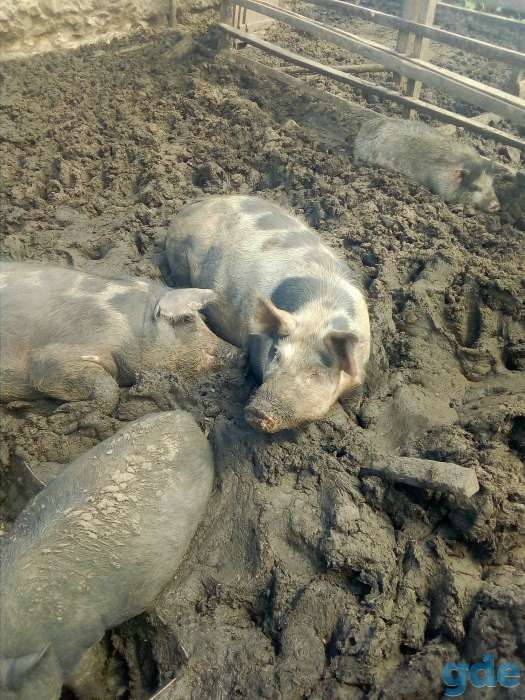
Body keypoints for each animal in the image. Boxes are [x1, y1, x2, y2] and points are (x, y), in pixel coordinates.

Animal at [0, 262, 230, 414]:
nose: (235, 352)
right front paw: (65, 413)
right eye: (187, 319)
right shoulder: (49, 357)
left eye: (204, 318)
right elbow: (107, 386)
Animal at [164, 195, 370, 432]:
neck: (319, 314)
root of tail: (188, 210)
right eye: (277, 355)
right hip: (180, 260)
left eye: (315, 373)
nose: (258, 411)